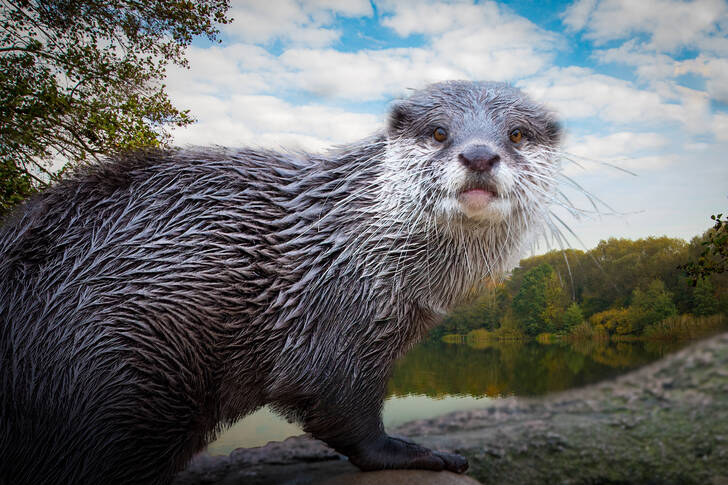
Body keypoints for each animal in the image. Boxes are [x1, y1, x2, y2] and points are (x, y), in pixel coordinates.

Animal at [0, 81, 564, 482]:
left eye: (517, 134)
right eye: (439, 132)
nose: (479, 155)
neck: (350, 242)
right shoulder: (340, 318)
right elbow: (343, 413)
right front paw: (424, 454)